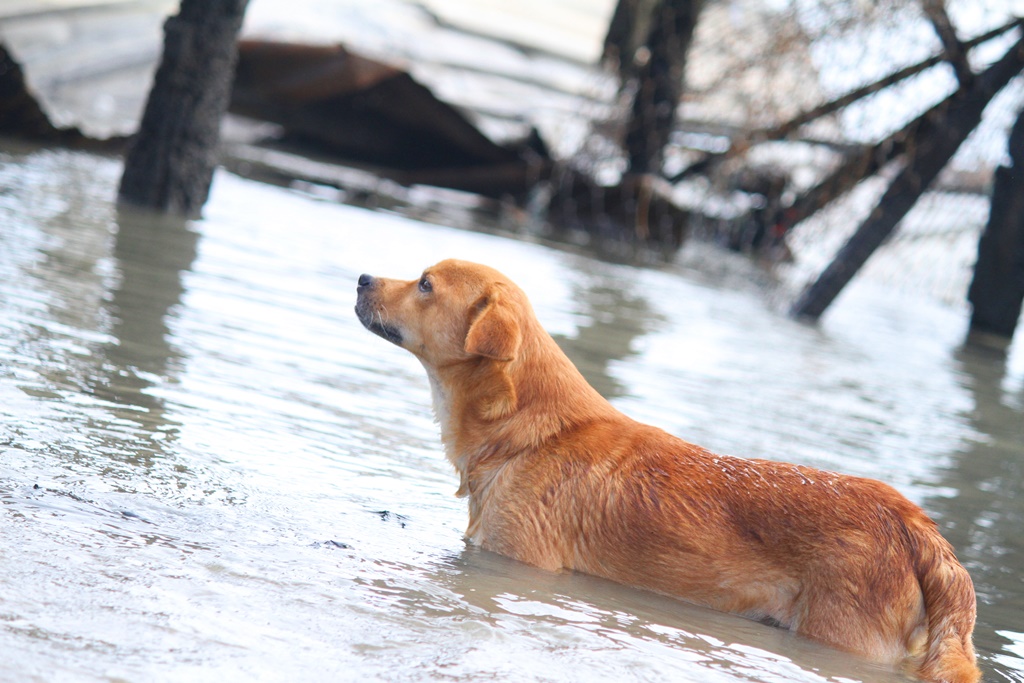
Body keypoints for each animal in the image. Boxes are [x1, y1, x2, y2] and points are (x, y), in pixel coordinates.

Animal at [356, 259, 978, 679]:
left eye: (425, 284)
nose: (362, 277)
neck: (527, 431)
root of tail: (915, 525)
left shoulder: (519, 564)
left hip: (840, 638)